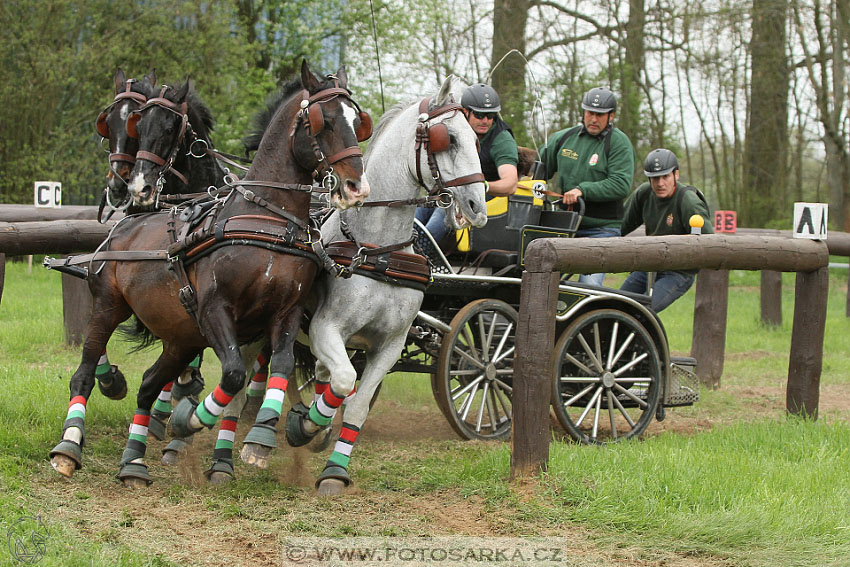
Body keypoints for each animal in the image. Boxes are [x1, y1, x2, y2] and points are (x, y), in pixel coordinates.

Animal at [48, 62, 368, 488]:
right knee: (84, 373)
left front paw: (261, 434)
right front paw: (189, 421)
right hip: (109, 307)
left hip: (179, 336)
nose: (356, 185)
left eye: (357, 121)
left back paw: (134, 462)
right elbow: (231, 374)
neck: (267, 220)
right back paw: (70, 446)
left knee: (149, 384)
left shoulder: (285, 313)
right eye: (323, 121)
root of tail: (122, 229)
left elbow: (279, 368)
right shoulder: (214, 310)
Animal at [240, 74, 490, 492]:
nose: (478, 207)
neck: (379, 249)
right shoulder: (325, 329)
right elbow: (343, 380)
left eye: (476, 139)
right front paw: (304, 426)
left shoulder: (389, 346)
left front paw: (332, 468)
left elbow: (354, 402)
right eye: (449, 139)